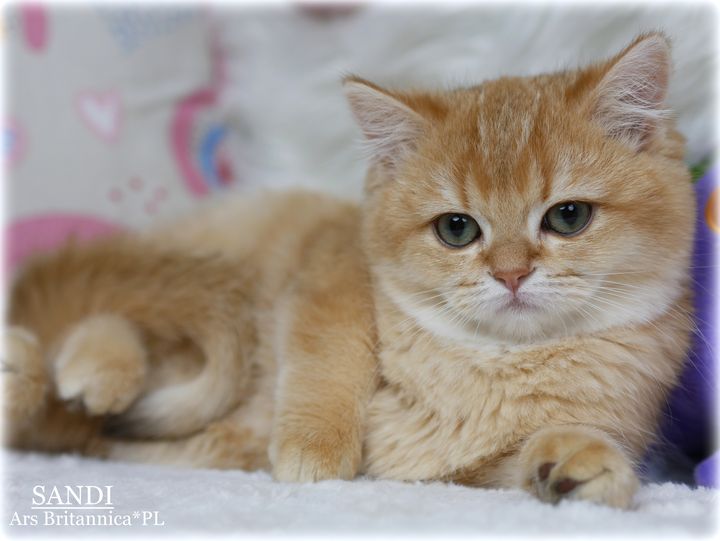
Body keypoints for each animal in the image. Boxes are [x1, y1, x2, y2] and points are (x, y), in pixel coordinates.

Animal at [4, 32, 695, 510]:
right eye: (456, 229)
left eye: (568, 217)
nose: (511, 274)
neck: (488, 363)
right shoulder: (331, 265)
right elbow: (330, 356)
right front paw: (314, 448)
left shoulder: (455, 471)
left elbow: (515, 463)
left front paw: (580, 464)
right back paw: (76, 366)